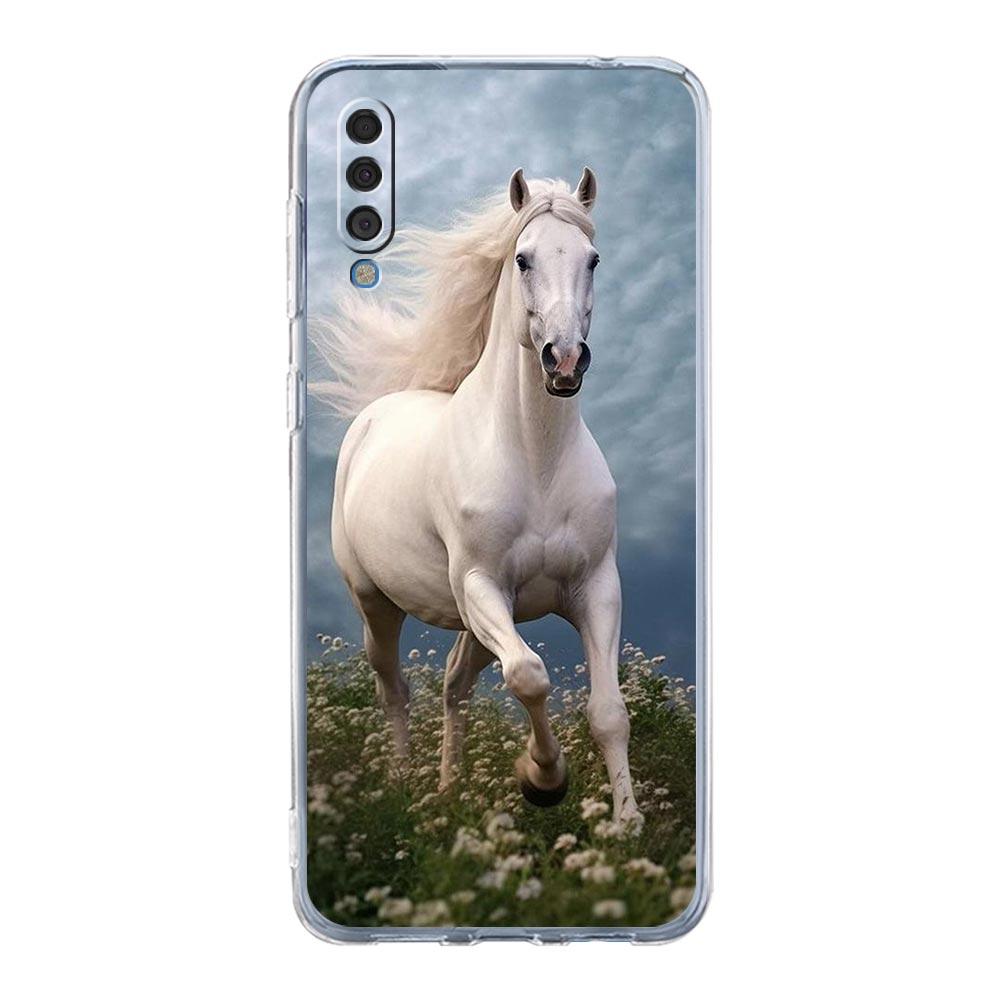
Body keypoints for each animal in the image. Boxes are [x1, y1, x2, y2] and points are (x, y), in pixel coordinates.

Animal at [312, 168, 640, 826]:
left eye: (592, 259)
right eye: (522, 258)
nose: (565, 360)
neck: (536, 460)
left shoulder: (595, 587)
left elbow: (609, 712)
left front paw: (627, 822)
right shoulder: (480, 582)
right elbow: (530, 675)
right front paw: (543, 779)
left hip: (477, 617)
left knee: (454, 685)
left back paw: (448, 790)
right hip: (377, 603)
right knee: (395, 688)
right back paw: (403, 786)